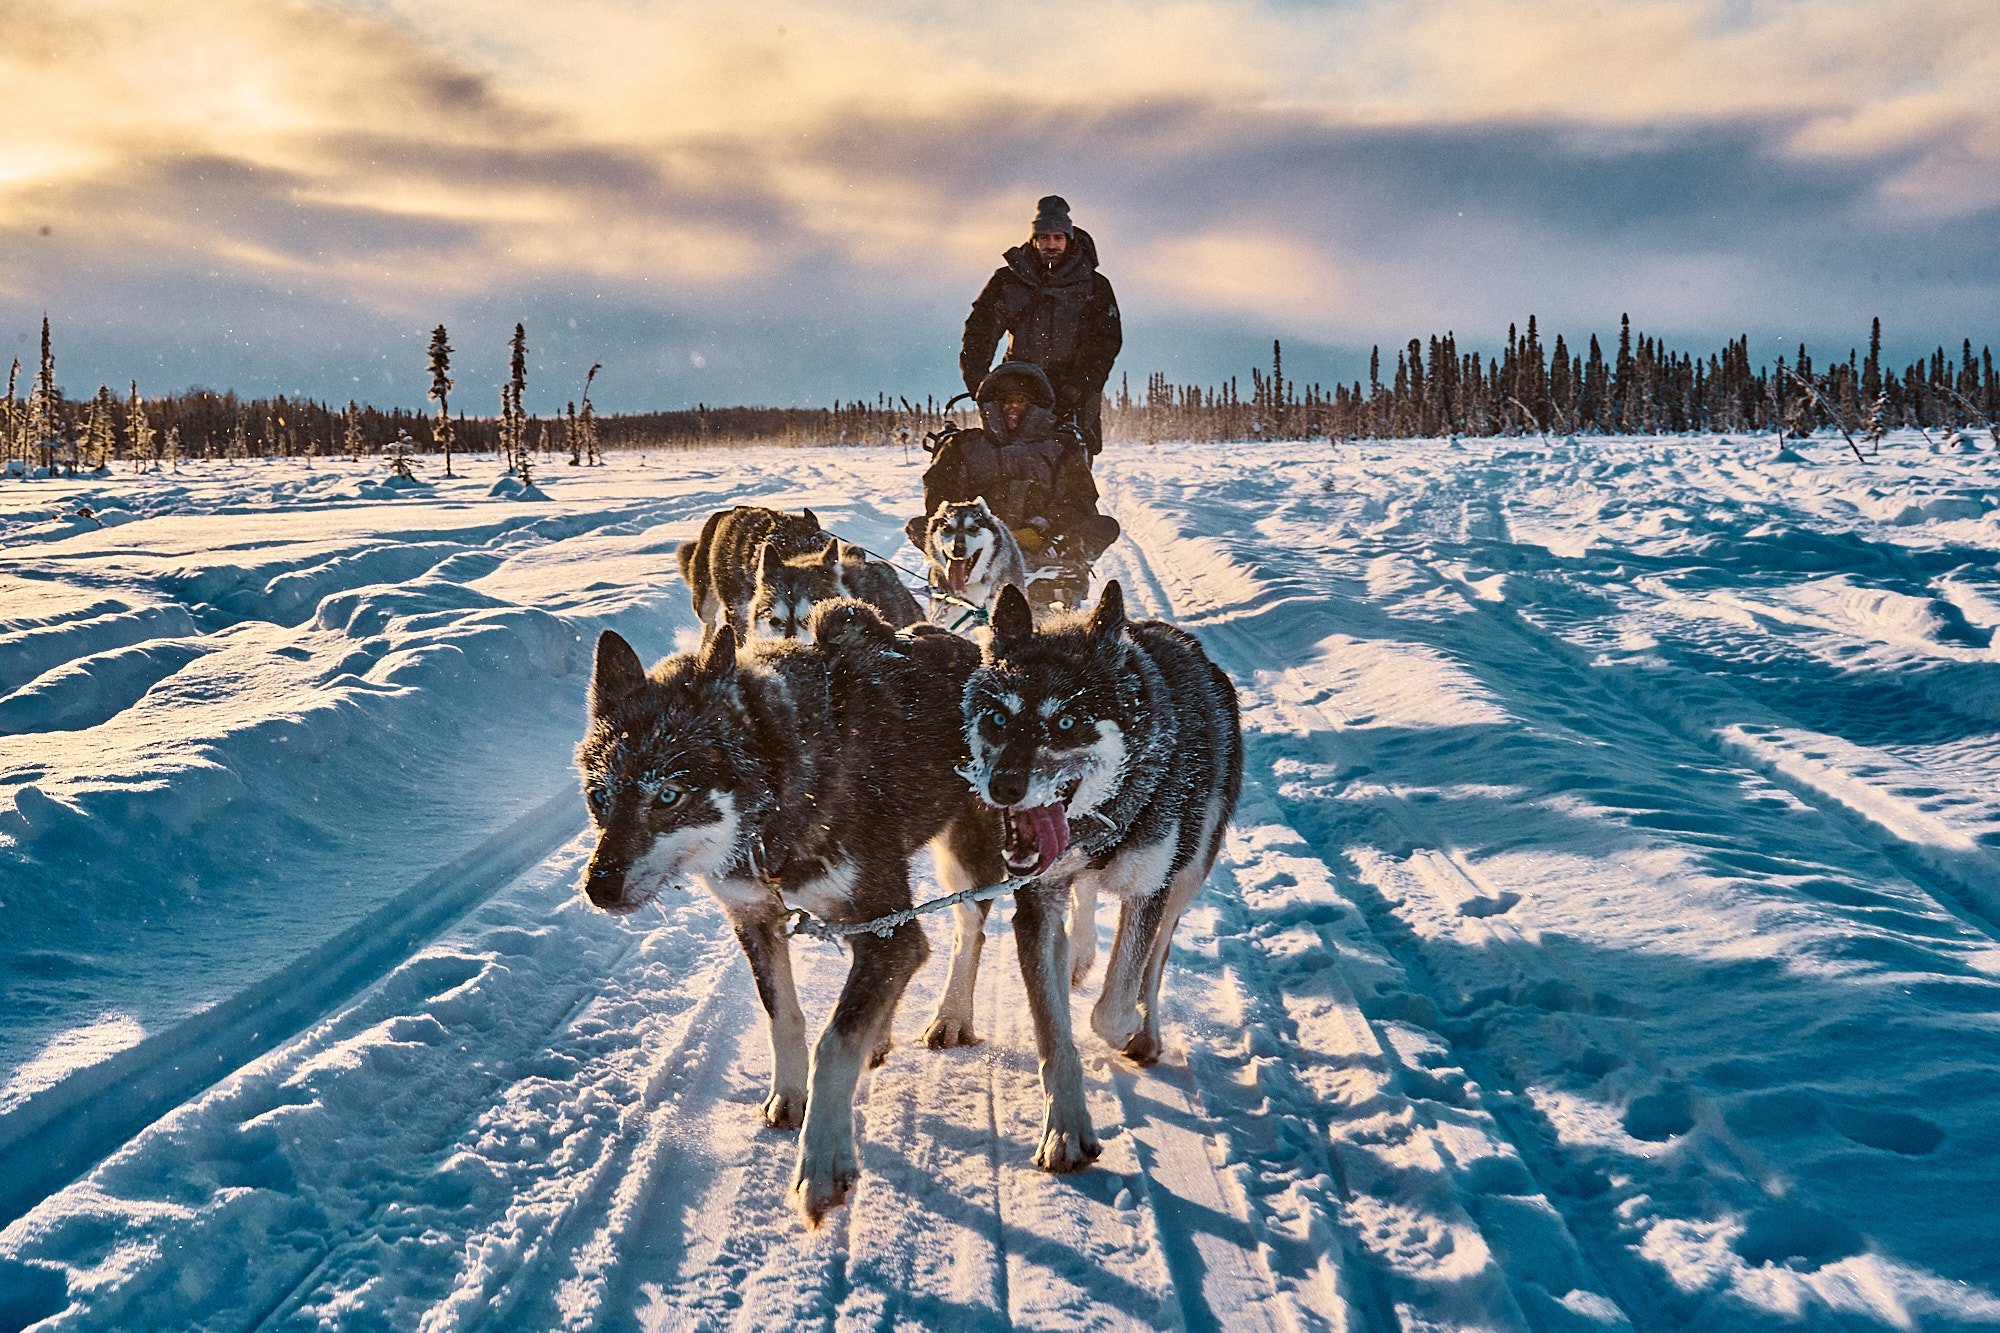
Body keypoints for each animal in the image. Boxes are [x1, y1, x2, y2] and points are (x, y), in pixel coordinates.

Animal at [948, 576, 1232, 1168]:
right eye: (998, 718)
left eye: (1067, 722)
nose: (1002, 787)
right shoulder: (1036, 906)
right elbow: (1054, 1035)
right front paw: (1066, 1130)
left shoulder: (1149, 890)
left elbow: (1114, 1005)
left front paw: (1124, 1029)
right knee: (1083, 905)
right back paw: (1078, 957)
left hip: (1185, 879)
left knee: (1154, 962)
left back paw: (1145, 1030)